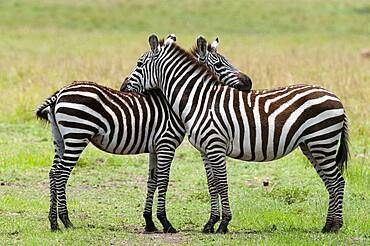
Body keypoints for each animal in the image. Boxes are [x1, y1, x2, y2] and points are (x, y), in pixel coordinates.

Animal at [123, 34, 348, 233]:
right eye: (220, 65)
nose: (123, 86)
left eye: (139, 64)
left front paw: (223, 224)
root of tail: (336, 97)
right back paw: (328, 225)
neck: (200, 100)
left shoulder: (215, 146)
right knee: (330, 181)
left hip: (322, 142)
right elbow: (212, 184)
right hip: (312, 146)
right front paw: (210, 224)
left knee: (337, 180)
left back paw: (335, 226)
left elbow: (222, 184)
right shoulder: (205, 150)